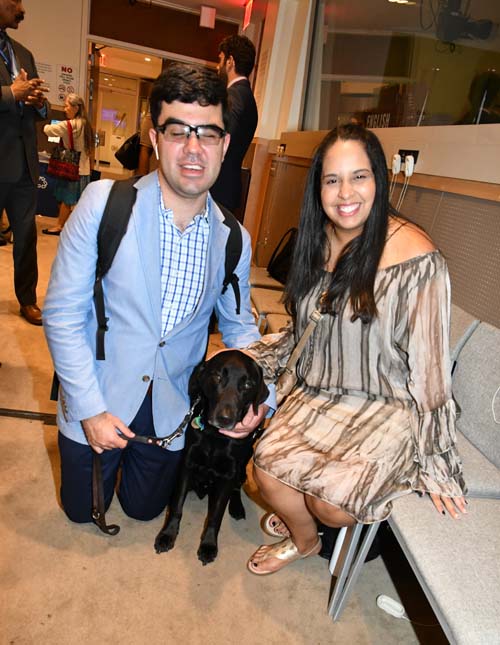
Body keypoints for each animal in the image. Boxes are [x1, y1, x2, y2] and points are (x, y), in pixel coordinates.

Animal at [153, 348, 268, 564]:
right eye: (217, 376)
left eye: (247, 384)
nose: (225, 418)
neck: (215, 436)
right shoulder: (187, 465)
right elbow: (177, 505)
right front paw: (168, 534)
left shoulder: (228, 475)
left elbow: (215, 516)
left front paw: (208, 545)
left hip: (242, 467)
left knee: (237, 487)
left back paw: (237, 507)